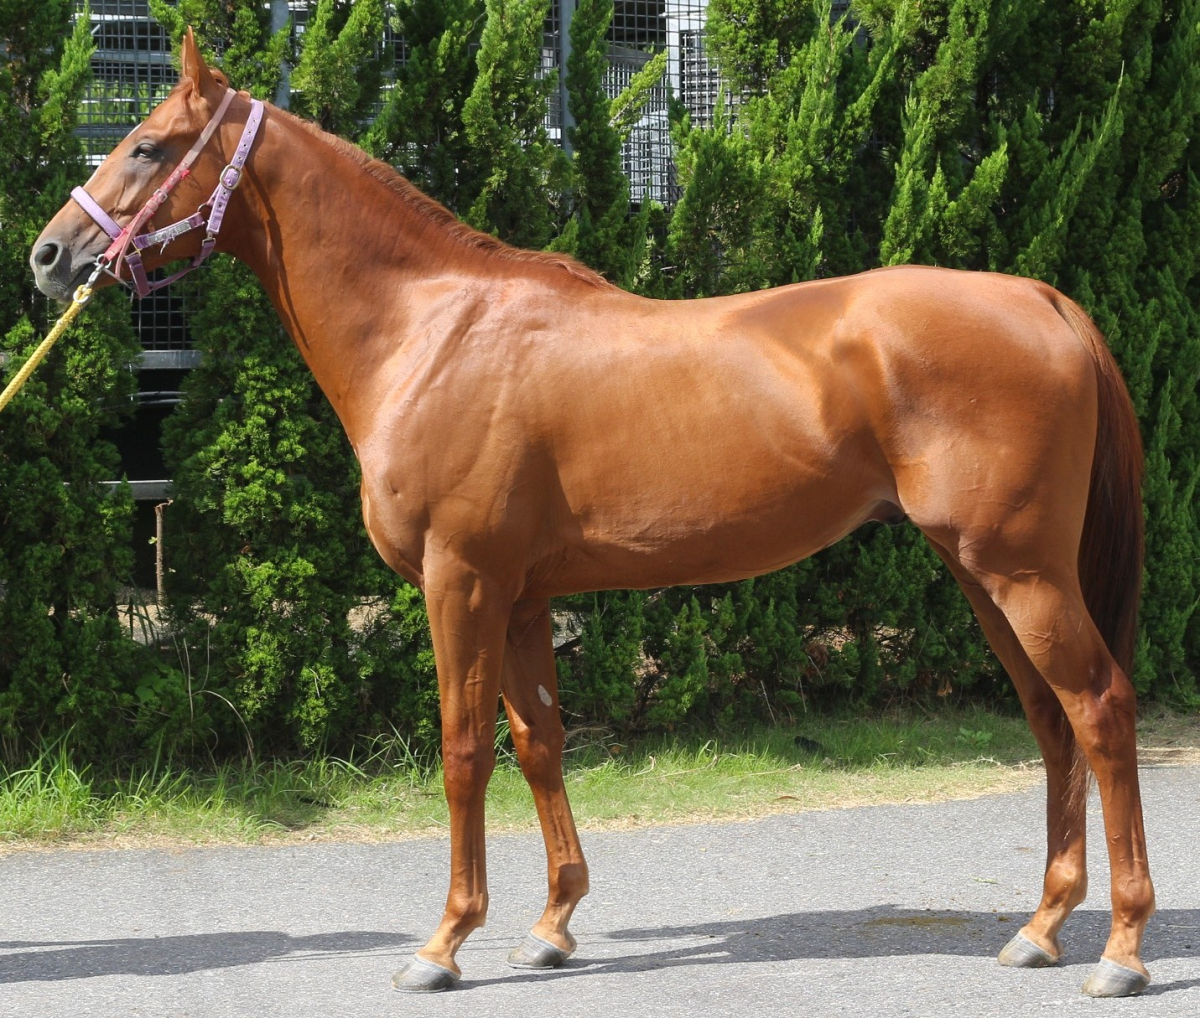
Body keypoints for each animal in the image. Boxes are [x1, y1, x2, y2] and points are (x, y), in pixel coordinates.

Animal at [31, 30, 1153, 997]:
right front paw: (551, 927)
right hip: (983, 575)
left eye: (147, 145)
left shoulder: (461, 581)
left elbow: (463, 751)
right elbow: (539, 742)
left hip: (1020, 572)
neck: (432, 329)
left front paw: (444, 942)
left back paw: (1123, 949)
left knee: (1099, 708)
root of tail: (1043, 300)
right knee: (1052, 719)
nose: (49, 255)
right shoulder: (524, 596)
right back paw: (1042, 928)